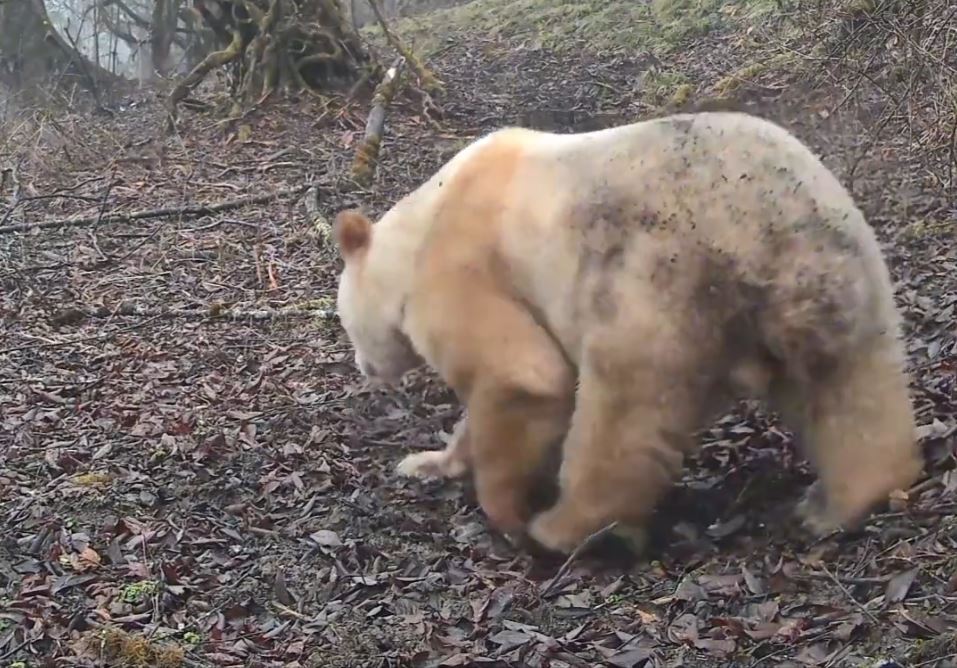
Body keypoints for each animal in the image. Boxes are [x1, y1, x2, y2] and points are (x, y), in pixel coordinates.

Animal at [332, 110, 923, 555]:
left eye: (344, 322)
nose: (363, 368)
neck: (424, 220)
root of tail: (762, 236)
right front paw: (427, 462)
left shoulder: (463, 268)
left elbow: (523, 375)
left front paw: (507, 514)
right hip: (839, 268)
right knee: (850, 390)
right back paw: (841, 502)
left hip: (650, 282)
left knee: (620, 412)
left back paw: (565, 527)